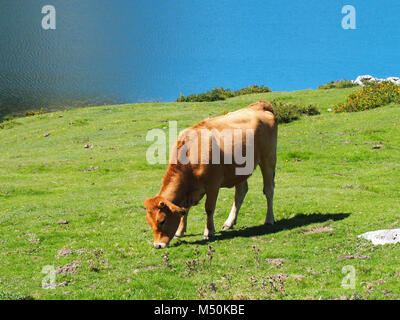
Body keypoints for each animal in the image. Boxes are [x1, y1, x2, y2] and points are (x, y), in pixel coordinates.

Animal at [144, 100, 278, 248]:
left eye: (162, 220)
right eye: (149, 222)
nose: (158, 245)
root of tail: (259, 105)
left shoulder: (213, 185)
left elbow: (209, 208)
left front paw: (209, 232)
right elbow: (185, 209)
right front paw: (180, 231)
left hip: (268, 158)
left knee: (269, 189)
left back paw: (269, 219)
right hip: (240, 170)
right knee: (241, 192)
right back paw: (229, 222)